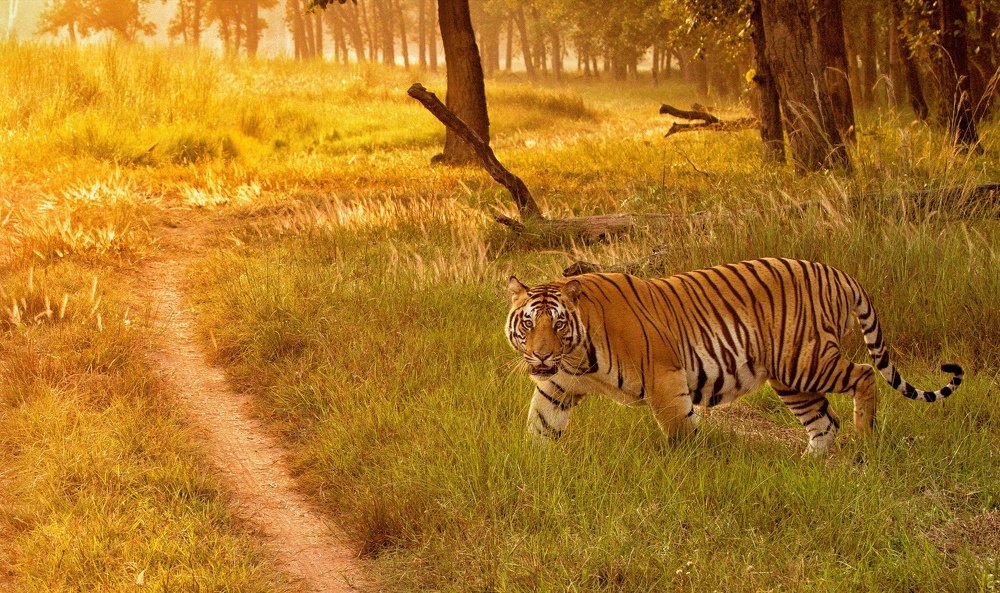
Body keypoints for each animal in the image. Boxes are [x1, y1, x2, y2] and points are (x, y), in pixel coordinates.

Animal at [504, 257, 964, 456]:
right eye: (529, 324)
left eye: (558, 324)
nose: (541, 355)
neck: (575, 356)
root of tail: (837, 271)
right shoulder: (556, 386)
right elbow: (540, 423)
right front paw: (535, 465)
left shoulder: (664, 377)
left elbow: (680, 431)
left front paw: (689, 468)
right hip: (790, 378)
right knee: (824, 422)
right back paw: (809, 465)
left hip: (807, 360)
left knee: (865, 374)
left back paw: (865, 437)